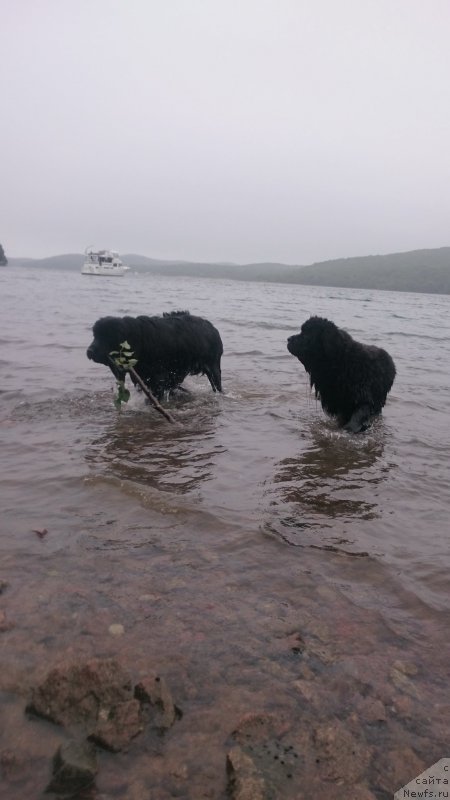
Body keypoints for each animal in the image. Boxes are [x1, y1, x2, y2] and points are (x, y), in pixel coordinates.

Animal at [86, 310, 223, 400]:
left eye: (107, 337)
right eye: (95, 336)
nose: (90, 351)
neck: (138, 341)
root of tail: (213, 328)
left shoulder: (158, 378)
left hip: (213, 368)